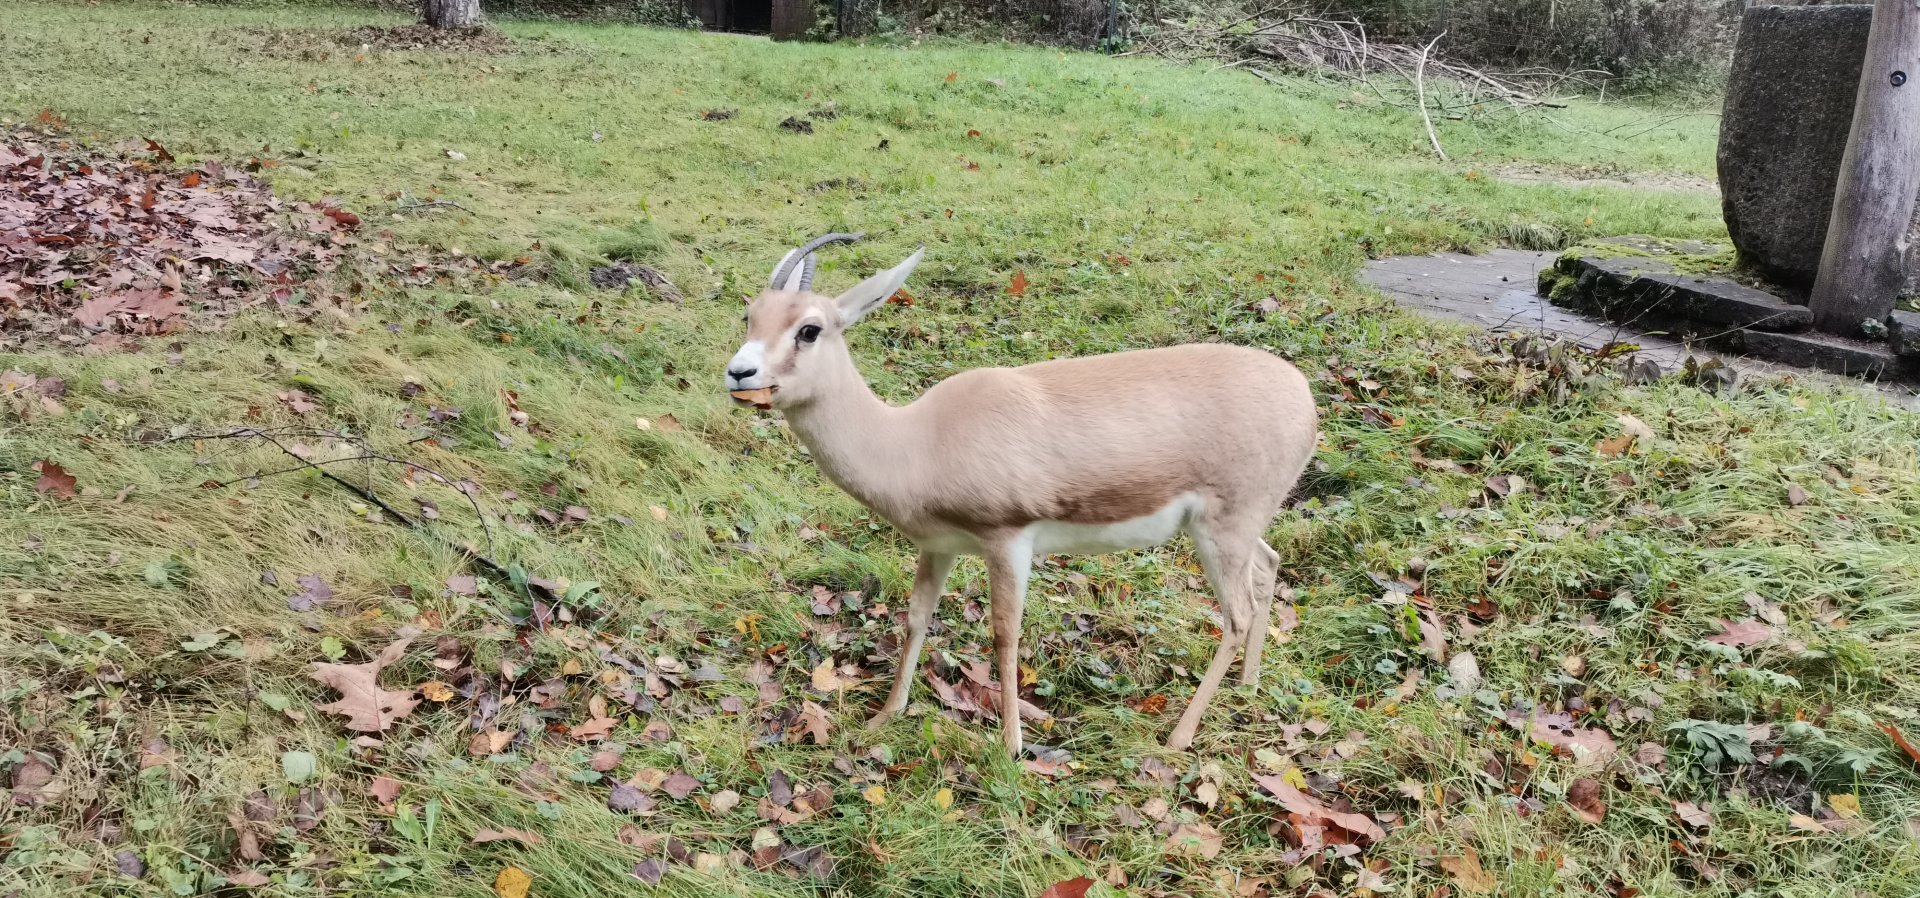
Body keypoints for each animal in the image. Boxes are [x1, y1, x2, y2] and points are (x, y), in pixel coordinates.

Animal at [727, 234, 1318, 754]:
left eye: (809, 329)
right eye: (751, 315)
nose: (739, 373)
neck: (914, 439)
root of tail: (1304, 396)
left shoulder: (1007, 541)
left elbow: (1004, 636)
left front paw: (1011, 745)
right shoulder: (938, 546)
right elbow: (916, 616)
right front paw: (885, 717)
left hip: (1222, 529)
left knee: (1237, 615)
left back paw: (1178, 737)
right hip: (1235, 529)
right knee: (1268, 566)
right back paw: (1248, 685)